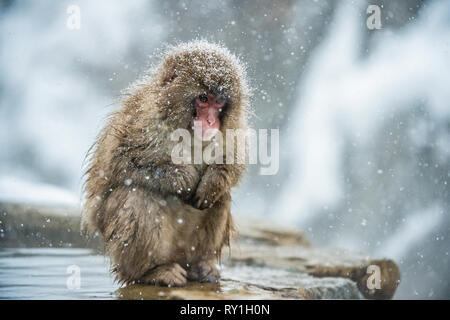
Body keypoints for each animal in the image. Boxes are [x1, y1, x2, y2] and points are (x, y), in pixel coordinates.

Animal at [81, 41, 250, 286]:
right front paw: (183, 177)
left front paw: (212, 182)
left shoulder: (232, 127)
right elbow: (119, 163)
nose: (211, 121)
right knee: (139, 195)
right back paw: (151, 272)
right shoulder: (143, 117)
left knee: (221, 197)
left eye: (219, 101)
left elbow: (234, 160)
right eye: (203, 98)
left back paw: (200, 266)